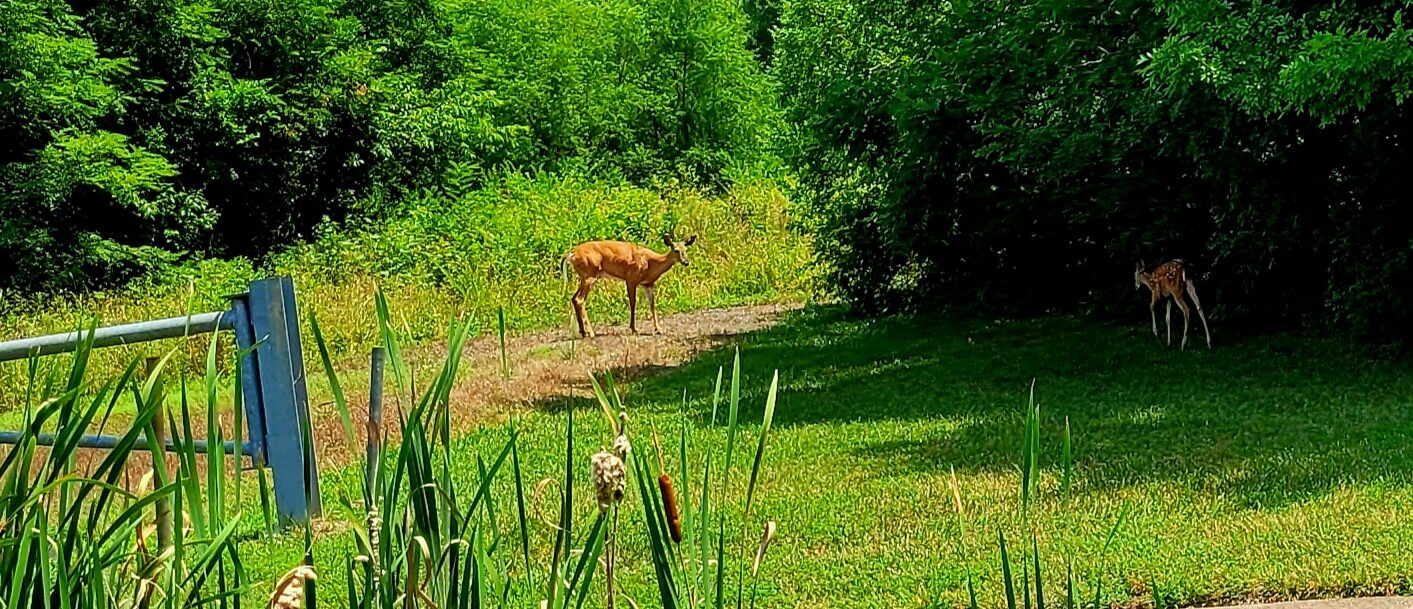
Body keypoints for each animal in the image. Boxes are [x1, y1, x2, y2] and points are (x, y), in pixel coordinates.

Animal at [559, 233, 698, 339]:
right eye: (676, 250)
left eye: (686, 250)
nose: (686, 262)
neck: (651, 264)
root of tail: (572, 254)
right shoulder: (631, 279)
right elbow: (633, 303)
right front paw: (633, 329)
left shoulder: (648, 284)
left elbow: (652, 305)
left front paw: (659, 329)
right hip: (589, 274)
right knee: (580, 299)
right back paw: (591, 332)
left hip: (584, 276)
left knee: (574, 298)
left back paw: (583, 332)